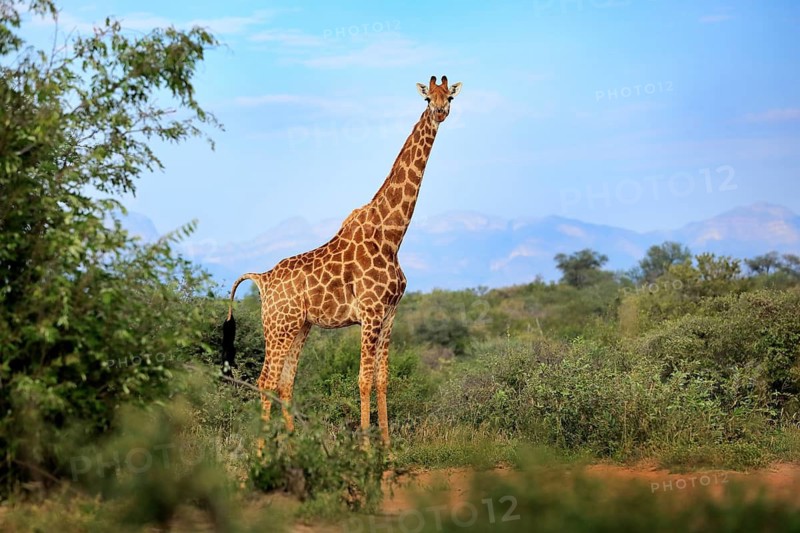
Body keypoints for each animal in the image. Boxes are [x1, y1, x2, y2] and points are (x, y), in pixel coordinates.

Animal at [222, 76, 462, 446]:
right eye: (427, 99)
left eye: (449, 96)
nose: (439, 112)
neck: (391, 237)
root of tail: (261, 279)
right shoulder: (370, 313)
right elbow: (363, 380)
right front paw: (366, 448)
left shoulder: (390, 314)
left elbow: (382, 379)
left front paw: (388, 449)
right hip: (278, 326)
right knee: (265, 381)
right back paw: (262, 453)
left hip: (300, 326)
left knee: (284, 382)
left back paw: (297, 447)